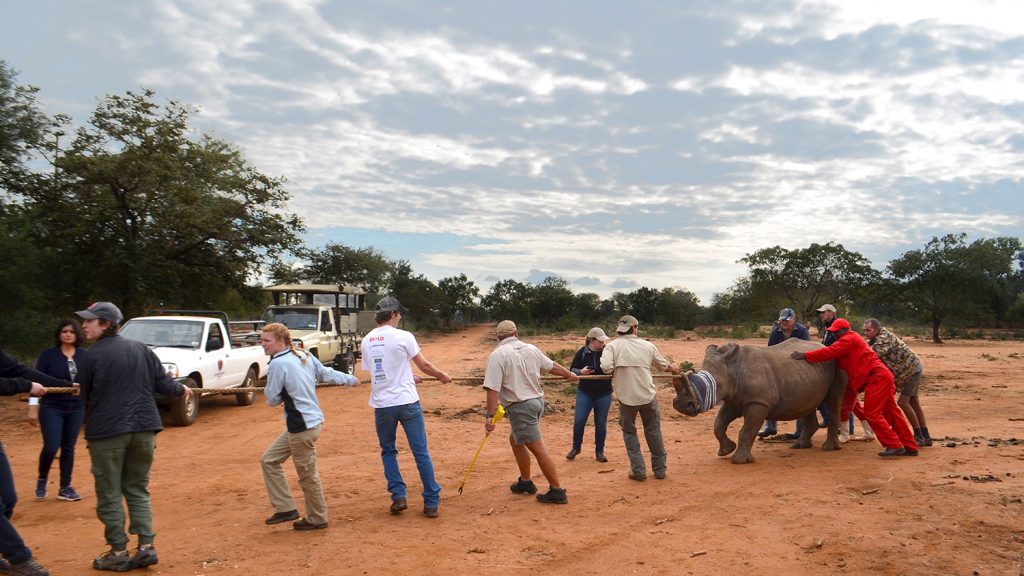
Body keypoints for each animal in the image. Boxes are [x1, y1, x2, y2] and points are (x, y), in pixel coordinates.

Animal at [671, 336, 847, 461]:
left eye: (711, 385)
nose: (681, 405)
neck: (733, 368)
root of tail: (823, 346)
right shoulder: (733, 400)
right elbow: (719, 424)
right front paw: (726, 451)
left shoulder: (758, 402)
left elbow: (747, 430)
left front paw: (739, 460)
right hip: (807, 374)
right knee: (806, 405)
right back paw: (799, 446)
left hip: (837, 363)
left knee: (833, 402)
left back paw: (828, 448)